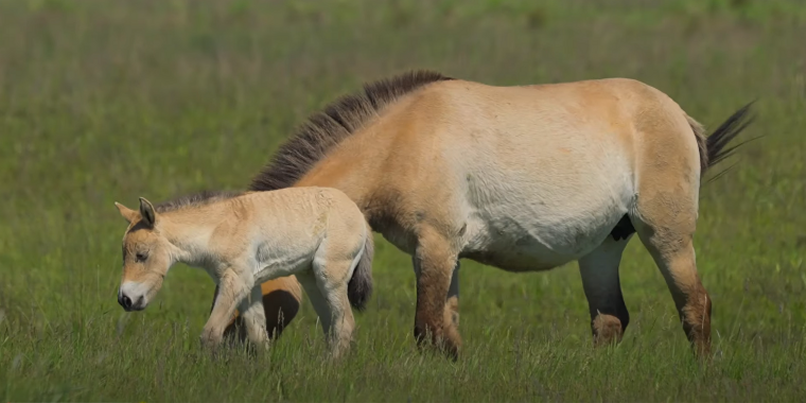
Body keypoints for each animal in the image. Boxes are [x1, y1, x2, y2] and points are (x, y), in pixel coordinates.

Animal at [114, 187, 374, 358]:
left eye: (141, 255)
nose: (125, 299)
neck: (218, 229)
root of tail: (360, 216)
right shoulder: (249, 286)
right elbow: (259, 337)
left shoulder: (235, 280)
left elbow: (210, 334)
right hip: (312, 280)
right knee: (332, 328)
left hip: (330, 277)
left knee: (344, 326)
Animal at [220, 70, 756, 359]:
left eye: (247, 293)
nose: (229, 353)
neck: (400, 142)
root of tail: (678, 115)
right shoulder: (441, 252)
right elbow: (446, 329)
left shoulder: (435, 245)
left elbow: (428, 329)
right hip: (603, 247)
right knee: (610, 319)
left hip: (666, 236)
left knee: (695, 306)